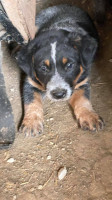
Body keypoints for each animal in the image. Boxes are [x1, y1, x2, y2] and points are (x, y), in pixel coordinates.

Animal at [16, 4, 104, 136]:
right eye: (43, 68)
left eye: (69, 65)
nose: (58, 94)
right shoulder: (30, 81)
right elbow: (31, 102)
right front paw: (31, 122)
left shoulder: (82, 80)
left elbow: (83, 99)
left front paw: (90, 117)